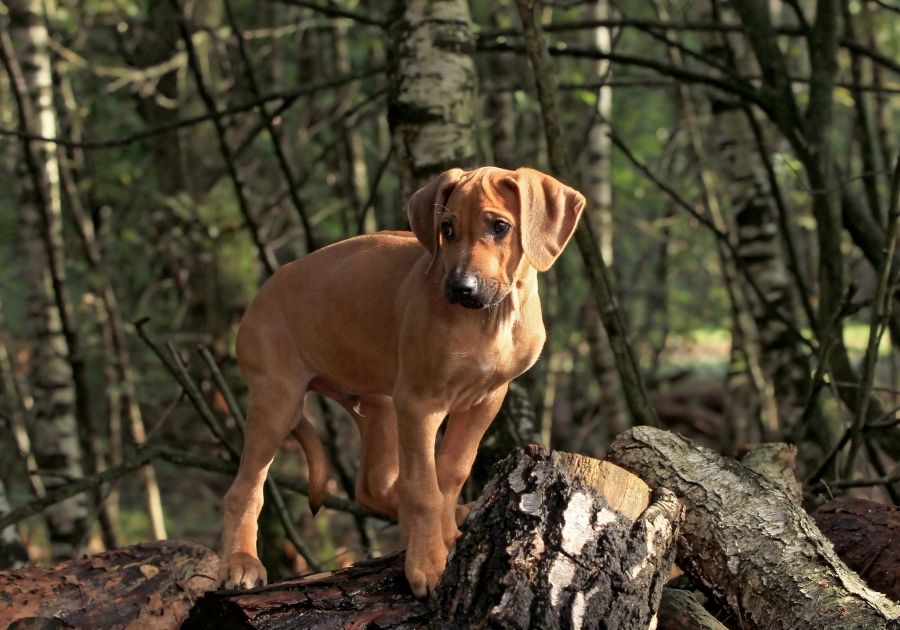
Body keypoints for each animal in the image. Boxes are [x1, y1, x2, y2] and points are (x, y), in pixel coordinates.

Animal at [216, 167, 584, 596]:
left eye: (500, 227)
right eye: (447, 228)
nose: (461, 288)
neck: (492, 319)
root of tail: (259, 296)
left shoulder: (486, 399)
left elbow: (450, 473)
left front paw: (444, 535)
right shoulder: (420, 403)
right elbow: (423, 487)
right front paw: (429, 564)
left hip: (379, 403)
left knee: (372, 486)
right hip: (279, 401)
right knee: (245, 489)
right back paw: (241, 562)